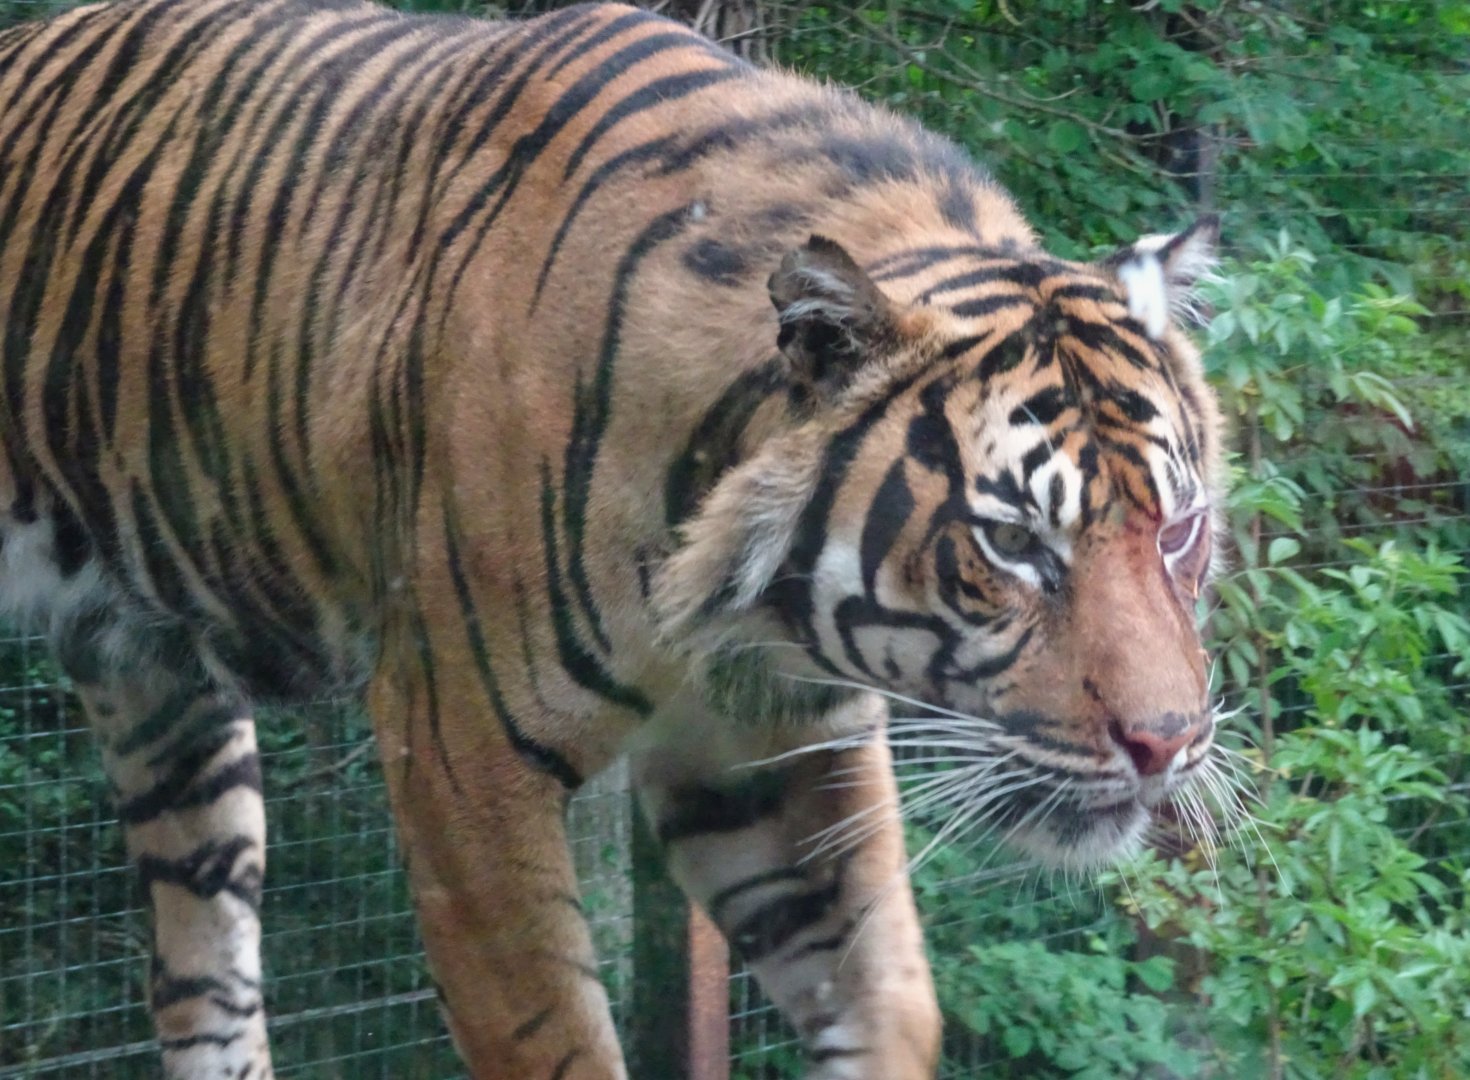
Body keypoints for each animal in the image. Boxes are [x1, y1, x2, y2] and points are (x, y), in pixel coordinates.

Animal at [0, 0, 1226, 1076]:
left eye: (1179, 530)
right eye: (1014, 543)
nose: (1165, 744)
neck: (738, 609)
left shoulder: (774, 746)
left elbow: (883, 999)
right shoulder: (457, 753)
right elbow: (551, 1039)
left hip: (167, 708)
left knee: (200, 977)